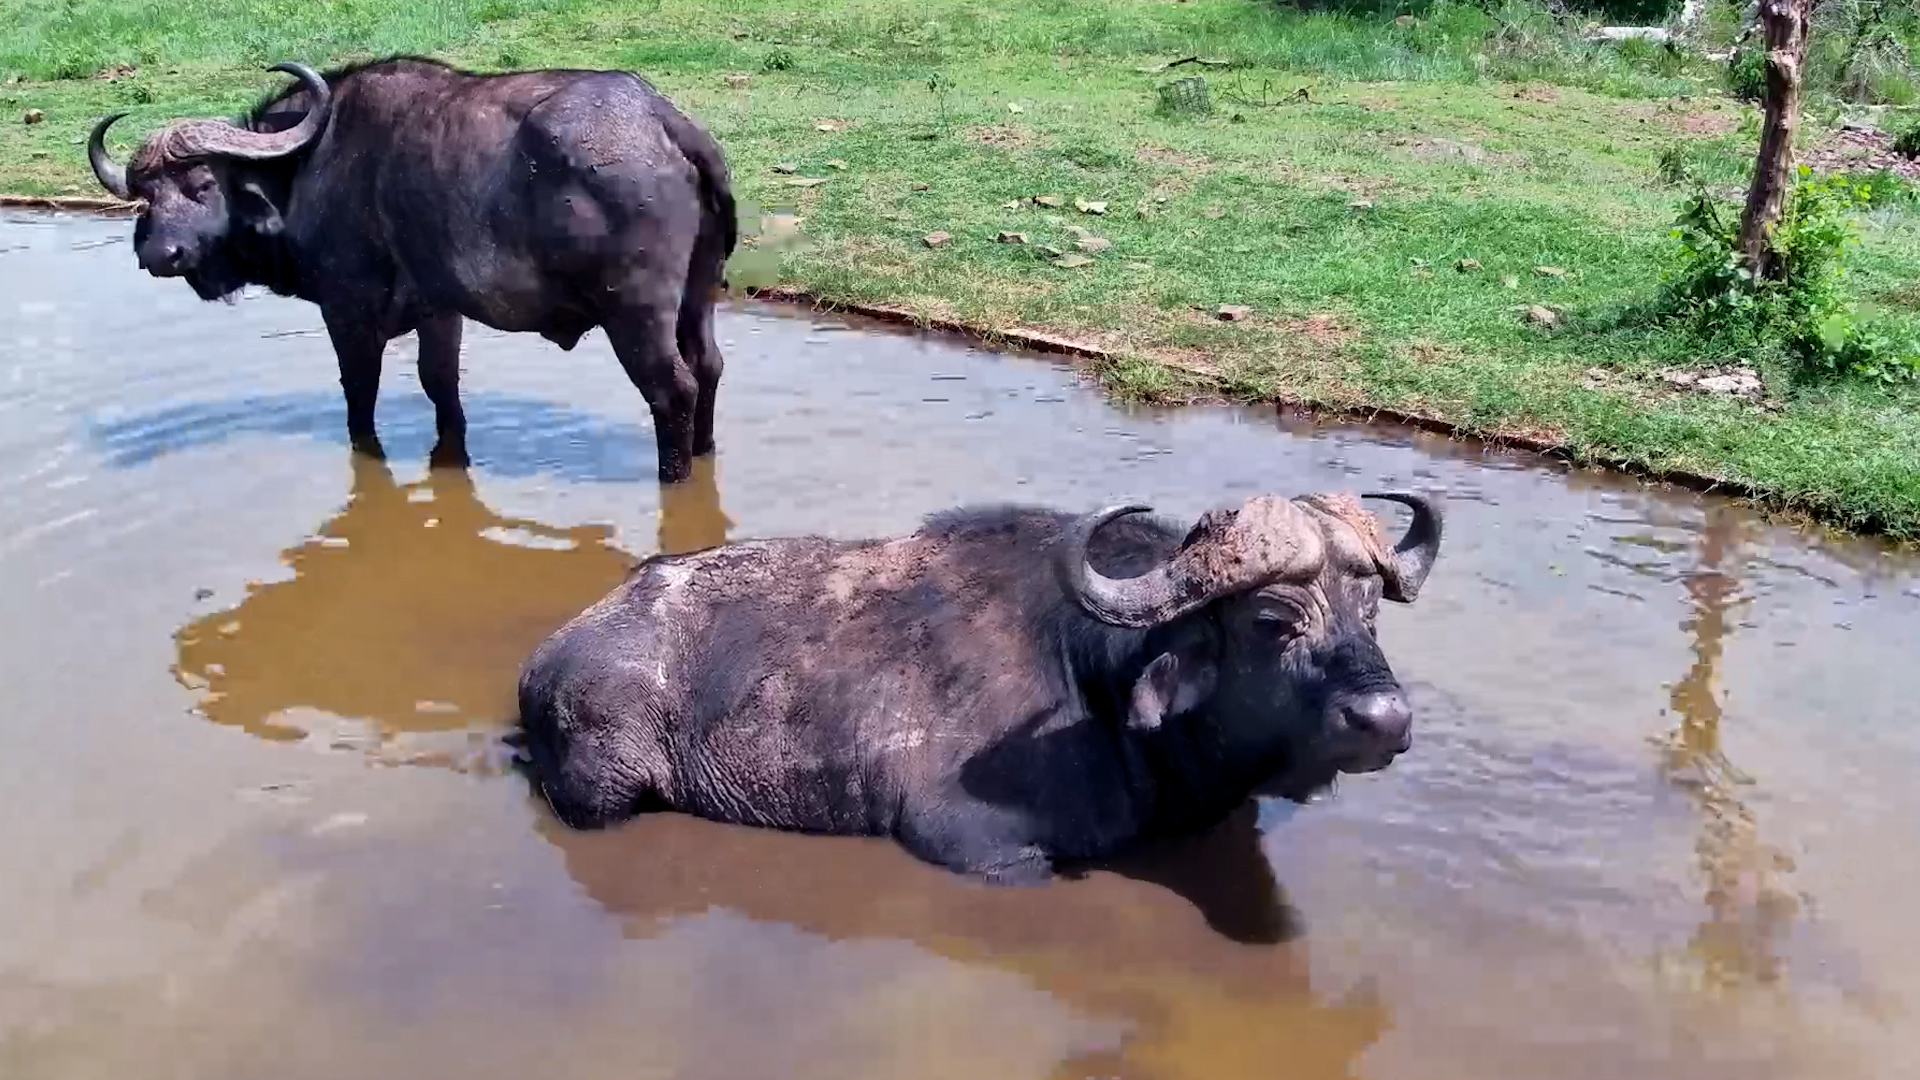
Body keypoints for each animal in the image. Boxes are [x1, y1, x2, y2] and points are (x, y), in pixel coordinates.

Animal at [86, 57, 736, 483]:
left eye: (201, 184)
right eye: (146, 197)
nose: (160, 255)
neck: (306, 166)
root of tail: (662, 120)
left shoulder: (347, 309)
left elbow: (359, 391)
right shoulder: (439, 308)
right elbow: (439, 384)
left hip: (634, 311)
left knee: (671, 388)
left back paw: (673, 473)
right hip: (698, 294)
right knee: (707, 367)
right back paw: (703, 452)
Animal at [516, 489, 1443, 884]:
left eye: (1370, 609)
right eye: (1273, 621)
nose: (1383, 718)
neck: (1099, 689)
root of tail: (544, 661)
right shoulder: (978, 847)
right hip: (605, 788)